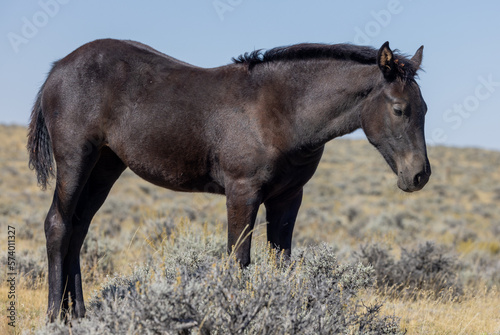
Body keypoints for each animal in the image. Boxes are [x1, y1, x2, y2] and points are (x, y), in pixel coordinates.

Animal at [28, 38, 430, 322]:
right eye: (399, 109)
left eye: (424, 109)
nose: (419, 175)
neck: (280, 111)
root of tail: (56, 69)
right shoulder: (242, 192)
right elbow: (239, 259)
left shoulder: (288, 197)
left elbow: (281, 262)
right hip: (76, 159)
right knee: (58, 224)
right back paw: (54, 316)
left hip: (105, 167)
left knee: (79, 227)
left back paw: (78, 314)